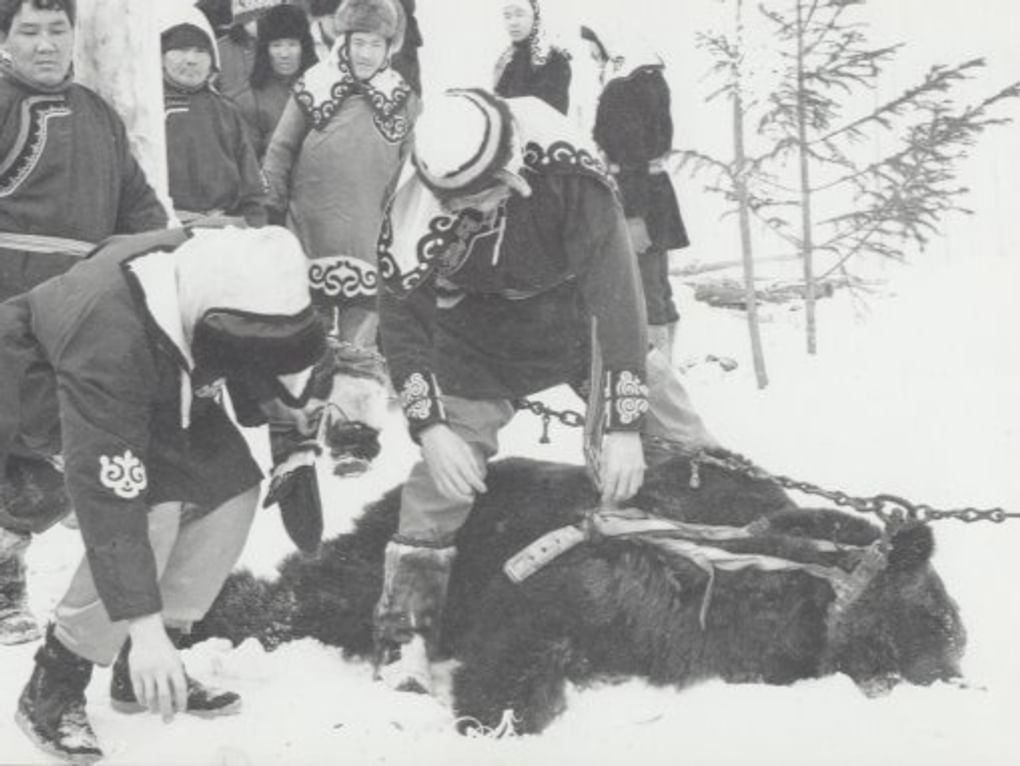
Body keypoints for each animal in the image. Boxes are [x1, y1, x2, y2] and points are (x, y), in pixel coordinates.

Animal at [191, 454, 962, 738]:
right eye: (941, 623)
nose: (958, 674)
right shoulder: (573, 580)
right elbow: (520, 646)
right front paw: (496, 713)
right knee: (320, 595)